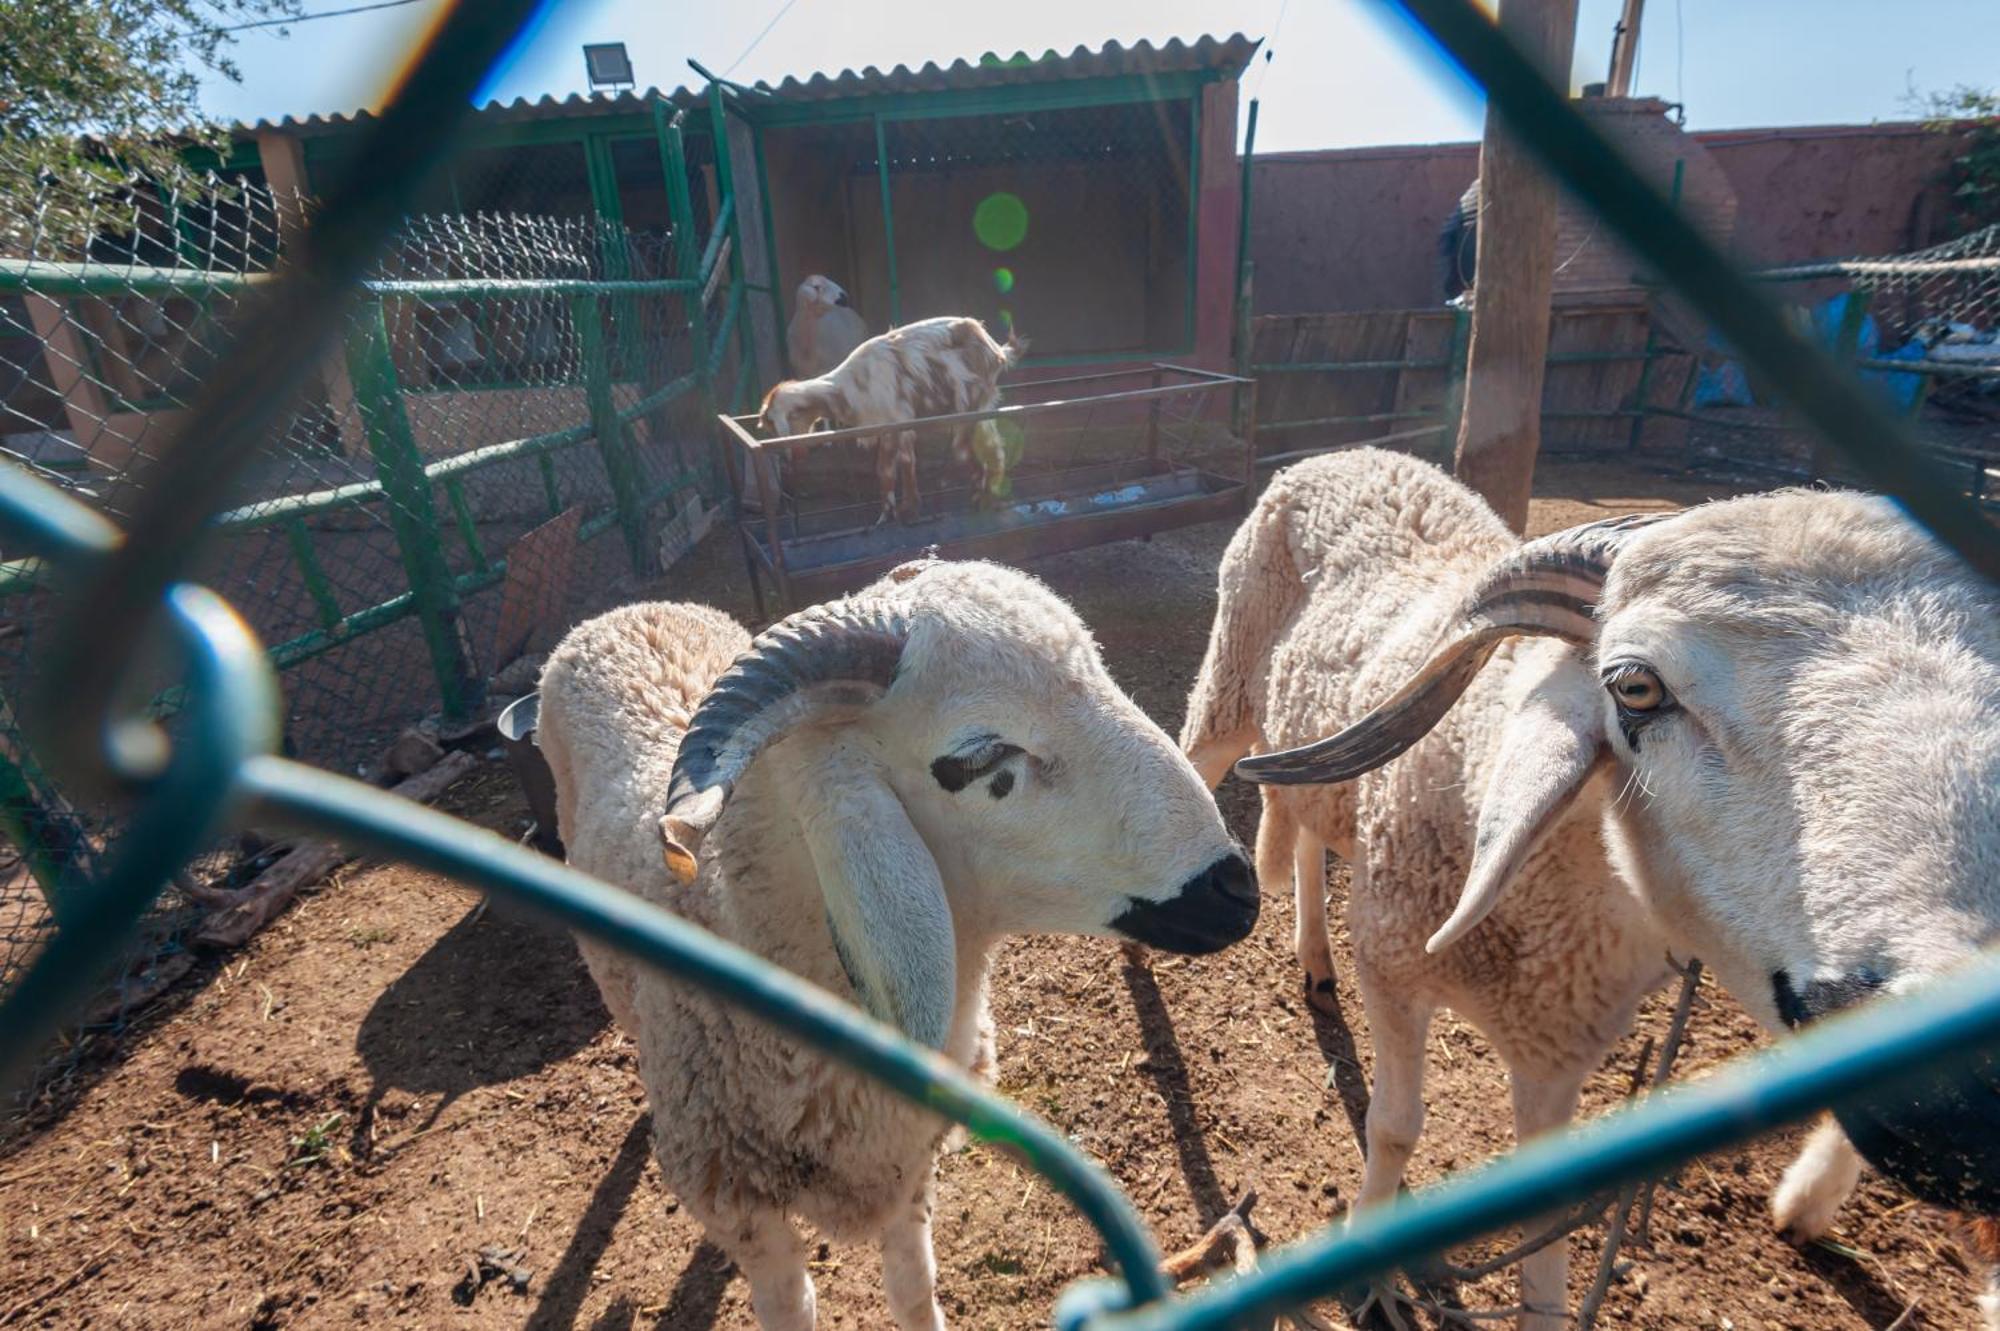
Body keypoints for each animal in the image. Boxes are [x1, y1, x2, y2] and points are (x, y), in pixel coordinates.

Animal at [532, 559, 1248, 1327]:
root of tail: (624, 611)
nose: (1238, 888)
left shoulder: (912, 1174)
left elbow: (913, 1288)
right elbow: (792, 1306)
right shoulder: (749, 1220)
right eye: (981, 757)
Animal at [756, 313, 1024, 519]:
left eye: (777, 426)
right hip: (983, 406)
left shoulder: (891, 423)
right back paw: (991, 493)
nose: (790, 458)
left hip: (968, 403)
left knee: (967, 449)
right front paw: (910, 506)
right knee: (994, 447)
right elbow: (907, 463)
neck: (845, 388)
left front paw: (887, 514)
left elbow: (884, 469)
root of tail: (996, 350)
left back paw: (982, 498)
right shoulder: (901, 425)